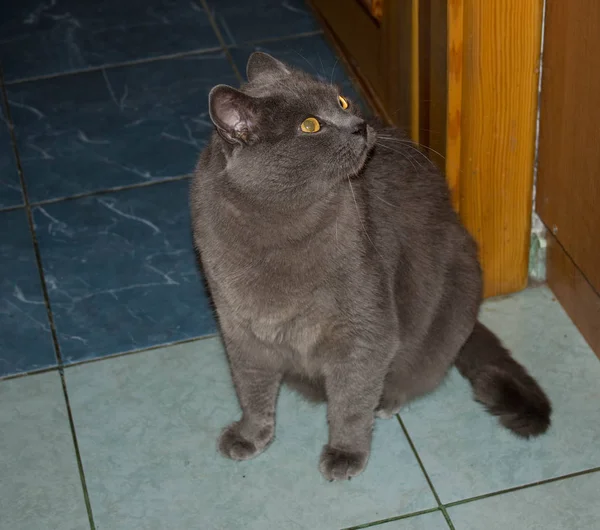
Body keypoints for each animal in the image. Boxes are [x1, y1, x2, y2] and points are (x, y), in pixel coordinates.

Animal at [190, 52, 552, 478]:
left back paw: (387, 399)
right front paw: (250, 435)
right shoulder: (239, 329)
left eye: (343, 101)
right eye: (310, 125)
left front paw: (346, 453)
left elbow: (350, 401)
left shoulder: (364, 330)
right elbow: (251, 388)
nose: (360, 126)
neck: (276, 231)